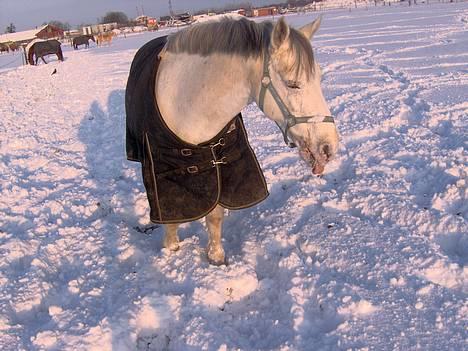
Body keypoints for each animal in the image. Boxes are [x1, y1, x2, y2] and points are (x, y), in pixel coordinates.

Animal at [126, 15, 338, 266]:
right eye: (293, 84)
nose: (328, 147)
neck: (188, 106)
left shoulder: (222, 166)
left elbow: (215, 215)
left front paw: (216, 256)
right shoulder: (164, 172)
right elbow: (172, 215)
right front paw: (171, 248)